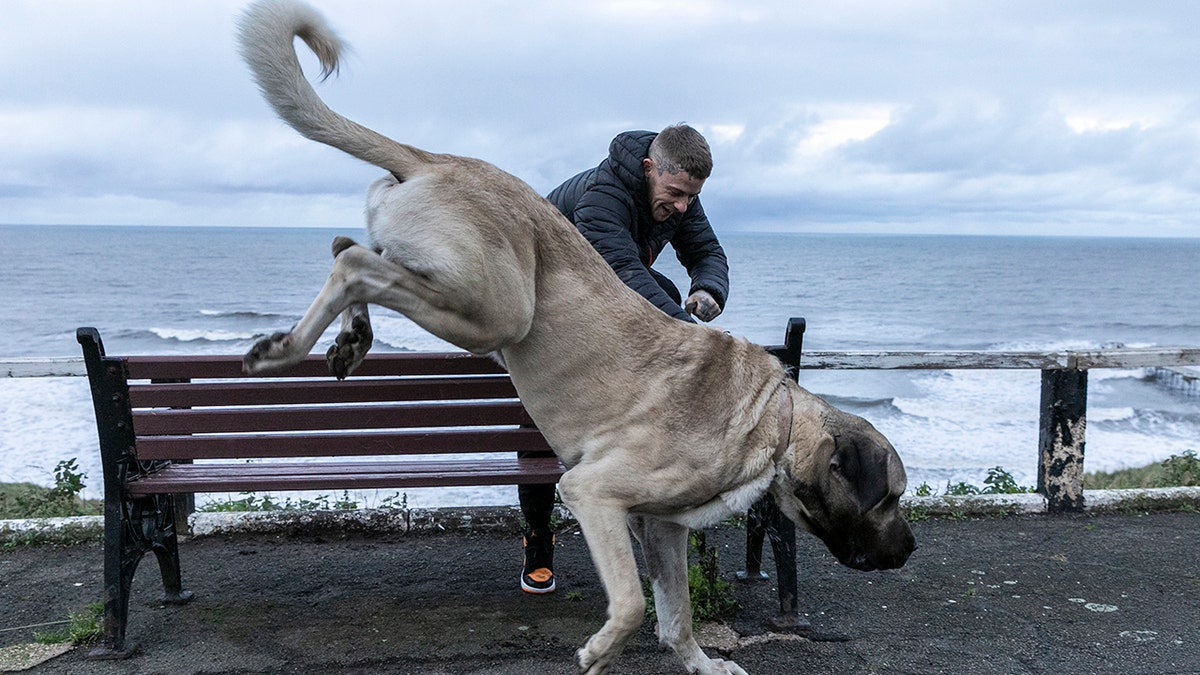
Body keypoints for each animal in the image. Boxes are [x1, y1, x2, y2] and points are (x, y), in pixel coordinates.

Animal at [231, 2, 907, 667]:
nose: (910, 548)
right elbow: (632, 605)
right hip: (495, 309)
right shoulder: (593, 492)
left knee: (347, 245)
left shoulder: (660, 527)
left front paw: (699, 662)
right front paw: (599, 654)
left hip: (443, 275)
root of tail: (437, 159)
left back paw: (352, 337)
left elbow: (677, 615)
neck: (775, 418)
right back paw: (285, 347)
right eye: (890, 498)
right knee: (353, 263)